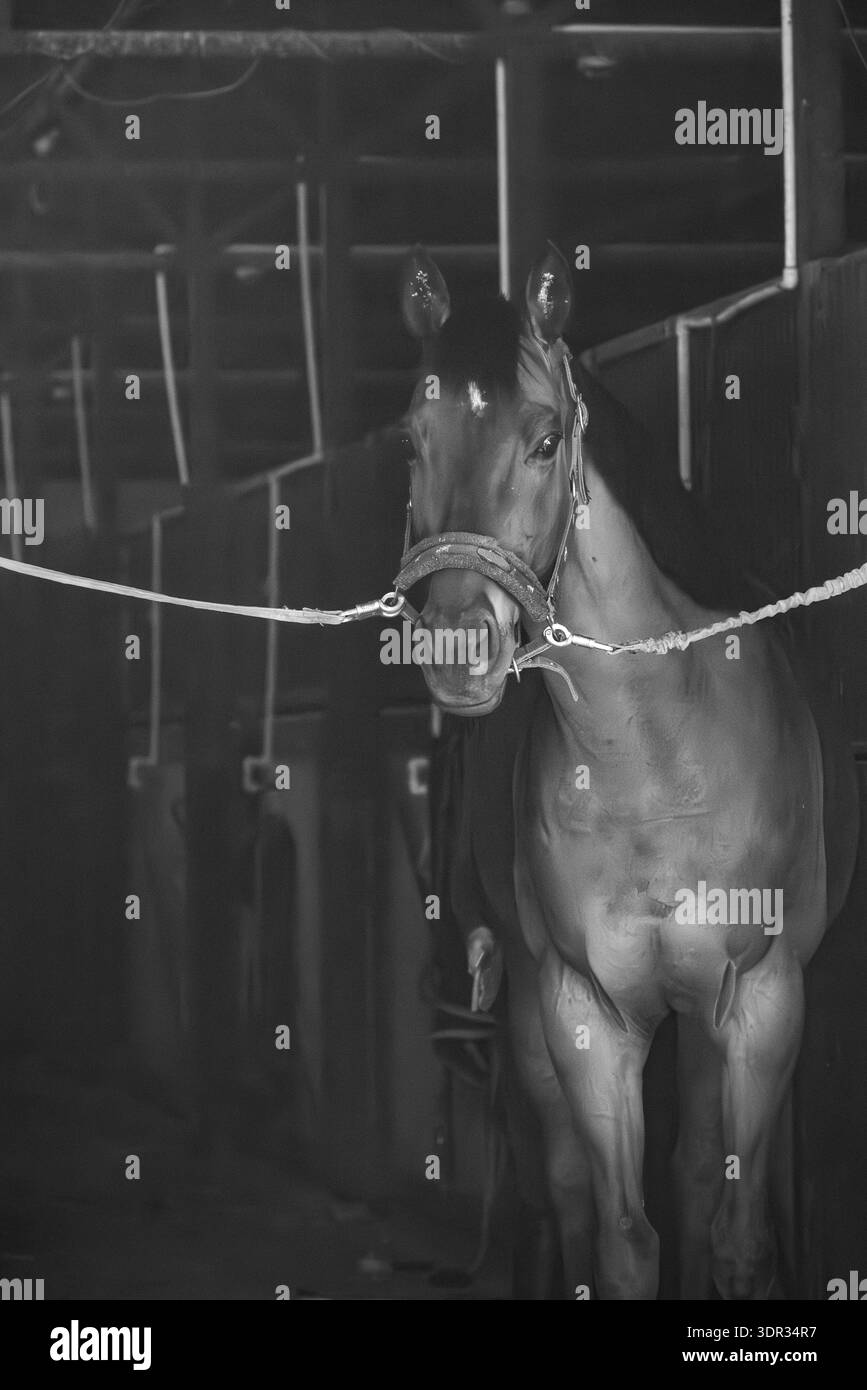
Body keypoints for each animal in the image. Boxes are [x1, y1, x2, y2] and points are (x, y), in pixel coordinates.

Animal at [394, 243, 859, 1300]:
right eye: (412, 440)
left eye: (544, 438)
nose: (456, 647)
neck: (652, 759)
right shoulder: (585, 1014)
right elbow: (621, 1240)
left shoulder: (761, 1004)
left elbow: (734, 1238)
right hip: (528, 1012)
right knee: (562, 1194)